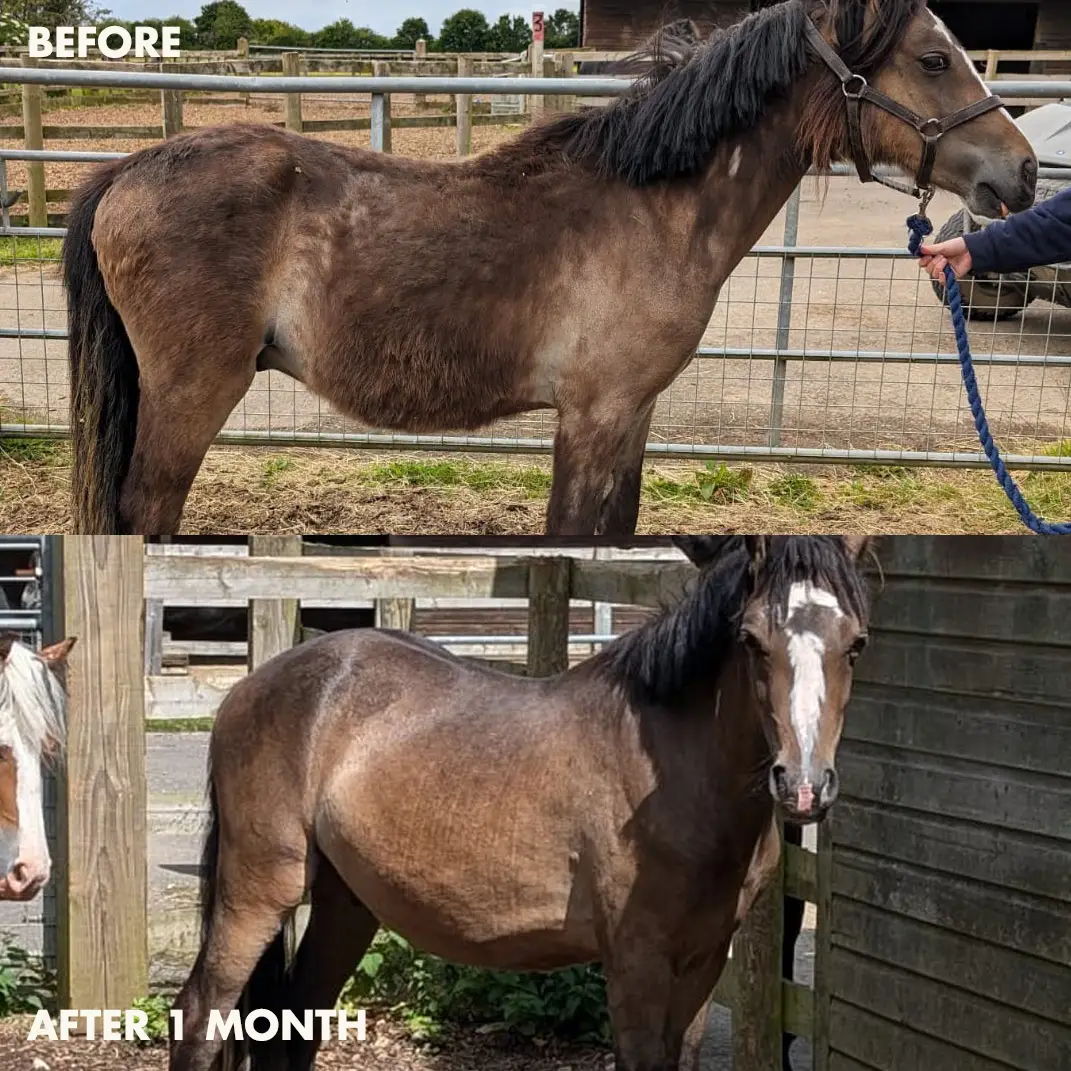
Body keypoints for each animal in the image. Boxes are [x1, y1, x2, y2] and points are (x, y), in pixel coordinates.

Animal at [63, 0, 1036, 536]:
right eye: (933, 57)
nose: (1022, 173)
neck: (649, 207)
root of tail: (126, 169)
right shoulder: (592, 416)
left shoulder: (631, 415)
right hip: (193, 393)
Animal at [171, 535, 872, 1071]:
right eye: (752, 640)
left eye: (855, 643)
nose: (803, 785)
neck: (671, 773)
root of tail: (256, 685)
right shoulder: (637, 963)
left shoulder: (700, 964)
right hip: (259, 889)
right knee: (201, 1015)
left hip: (347, 901)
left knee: (294, 1023)